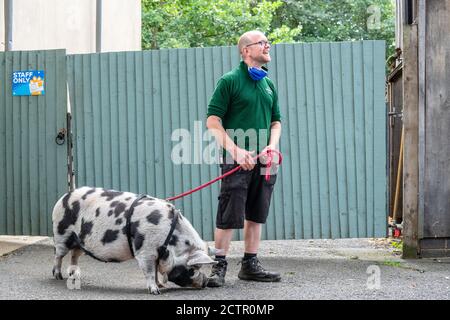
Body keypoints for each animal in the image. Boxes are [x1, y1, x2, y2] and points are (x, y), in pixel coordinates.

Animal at [52, 186, 218, 294]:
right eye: (193, 269)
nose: (205, 282)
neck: (170, 241)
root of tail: (63, 197)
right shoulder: (145, 251)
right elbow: (150, 271)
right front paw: (155, 291)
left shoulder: (156, 254)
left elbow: (155, 271)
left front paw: (160, 286)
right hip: (62, 234)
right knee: (58, 255)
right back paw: (58, 276)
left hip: (80, 242)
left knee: (74, 255)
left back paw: (75, 275)